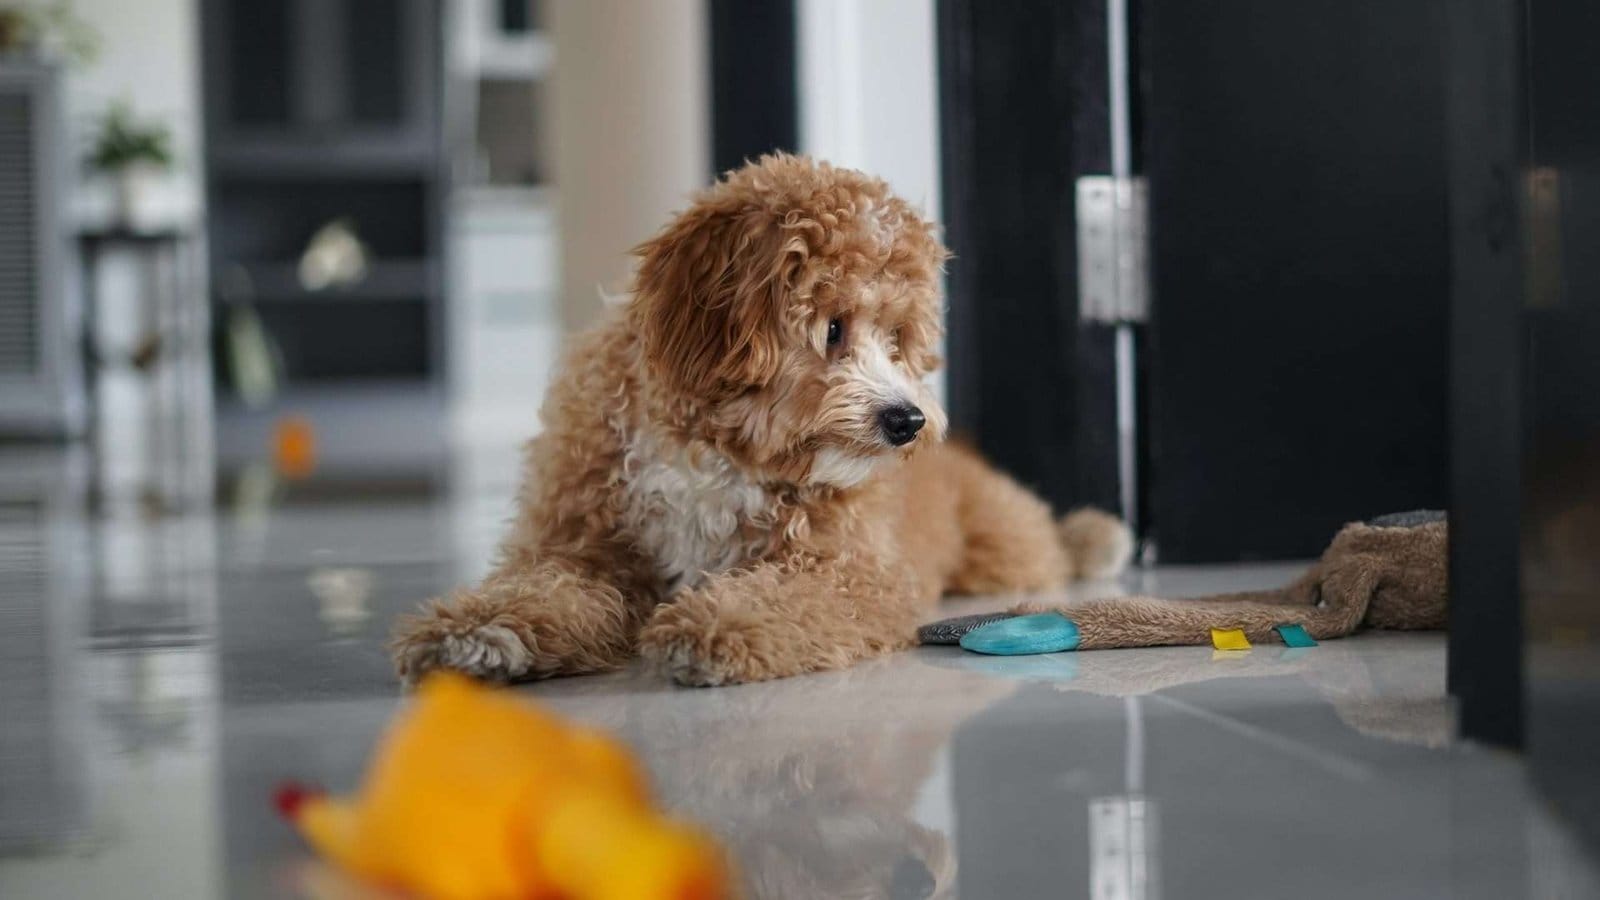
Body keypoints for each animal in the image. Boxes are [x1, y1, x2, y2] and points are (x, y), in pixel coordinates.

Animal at [393, 156, 1132, 685]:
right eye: (833, 328)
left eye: (897, 340)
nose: (908, 420)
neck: (713, 450)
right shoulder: (576, 547)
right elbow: (545, 587)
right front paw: (479, 631)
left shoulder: (849, 568)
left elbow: (785, 597)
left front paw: (715, 627)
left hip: (1004, 542)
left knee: (1044, 547)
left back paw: (1091, 539)